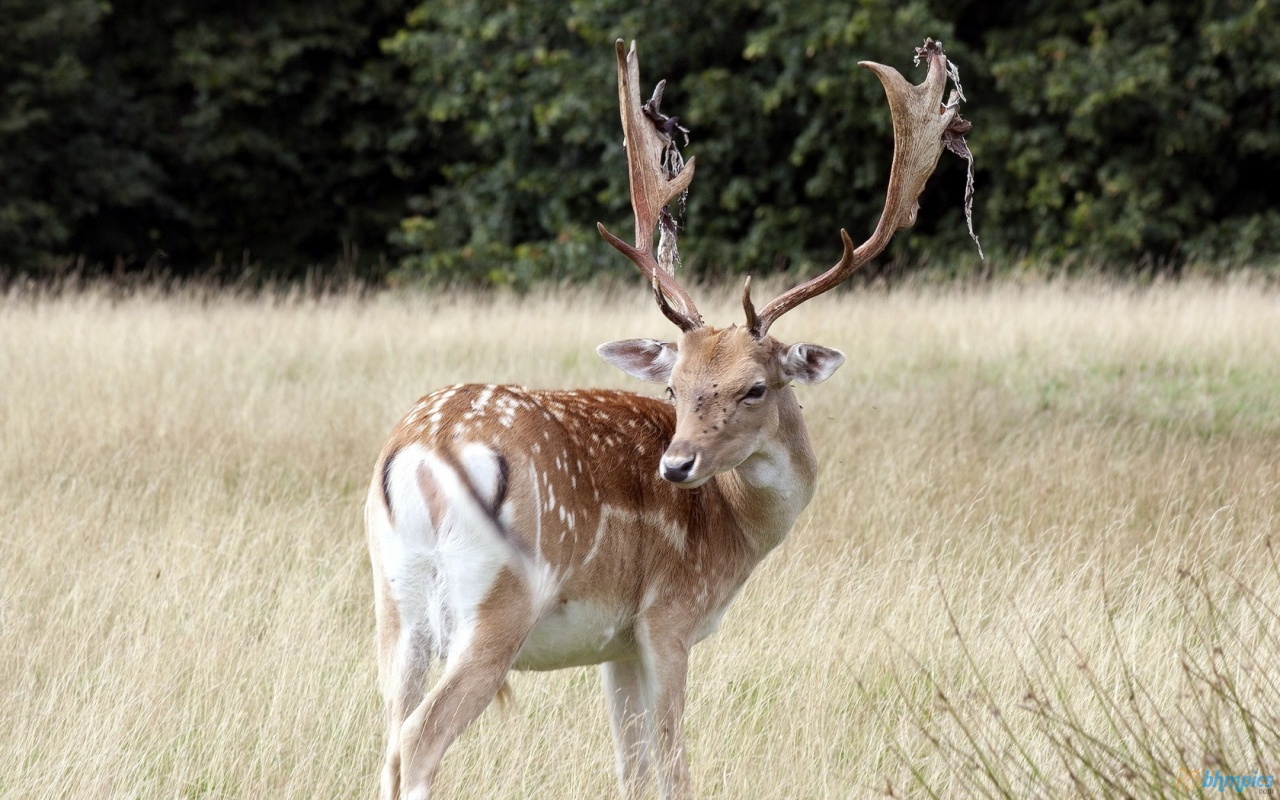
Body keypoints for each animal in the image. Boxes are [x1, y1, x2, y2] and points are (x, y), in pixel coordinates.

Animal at [366, 37, 972, 800]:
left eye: (753, 388)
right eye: (677, 387)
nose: (677, 465)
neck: (736, 530)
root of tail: (424, 451)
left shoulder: (616, 643)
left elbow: (629, 767)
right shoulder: (668, 619)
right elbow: (674, 767)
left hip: (394, 602)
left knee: (387, 733)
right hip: (500, 600)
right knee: (418, 741)